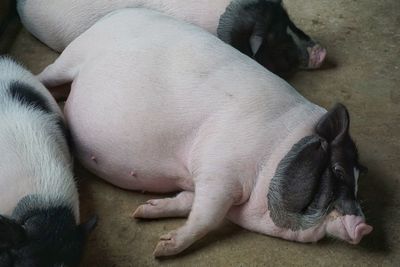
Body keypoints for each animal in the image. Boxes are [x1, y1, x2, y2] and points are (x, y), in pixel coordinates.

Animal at [39, 8, 374, 258]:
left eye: (359, 179)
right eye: (338, 171)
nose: (364, 227)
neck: (277, 150)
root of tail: (114, 15)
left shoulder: (205, 181)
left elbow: (187, 201)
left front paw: (142, 211)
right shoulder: (220, 168)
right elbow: (206, 216)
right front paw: (162, 249)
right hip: (70, 58)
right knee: (46, 75)